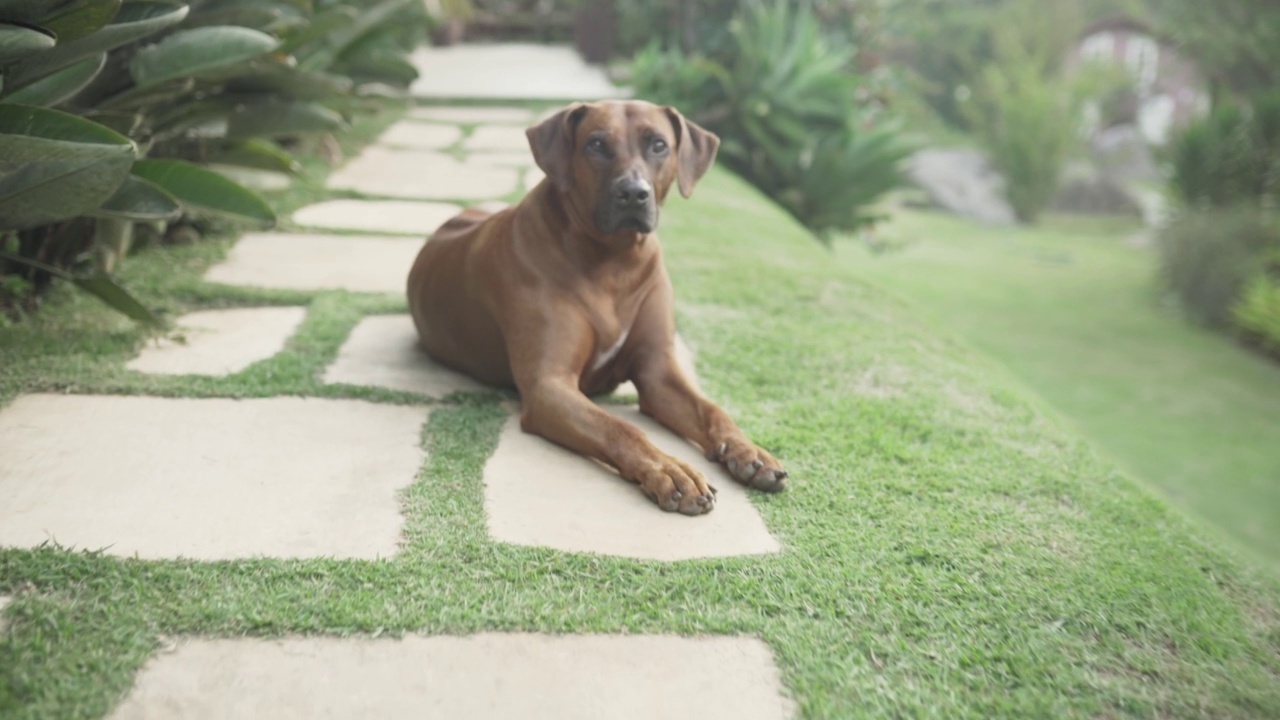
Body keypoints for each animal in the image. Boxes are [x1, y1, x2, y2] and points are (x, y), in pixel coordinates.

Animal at [409, 102, 783, 515]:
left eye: (658, 145)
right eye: (596, 144)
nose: (634, 193)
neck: (614, 261)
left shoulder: (658, 371)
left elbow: (712, 409)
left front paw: (749, 450)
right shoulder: (548, 386)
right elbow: (620, 427)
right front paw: (670, 470)